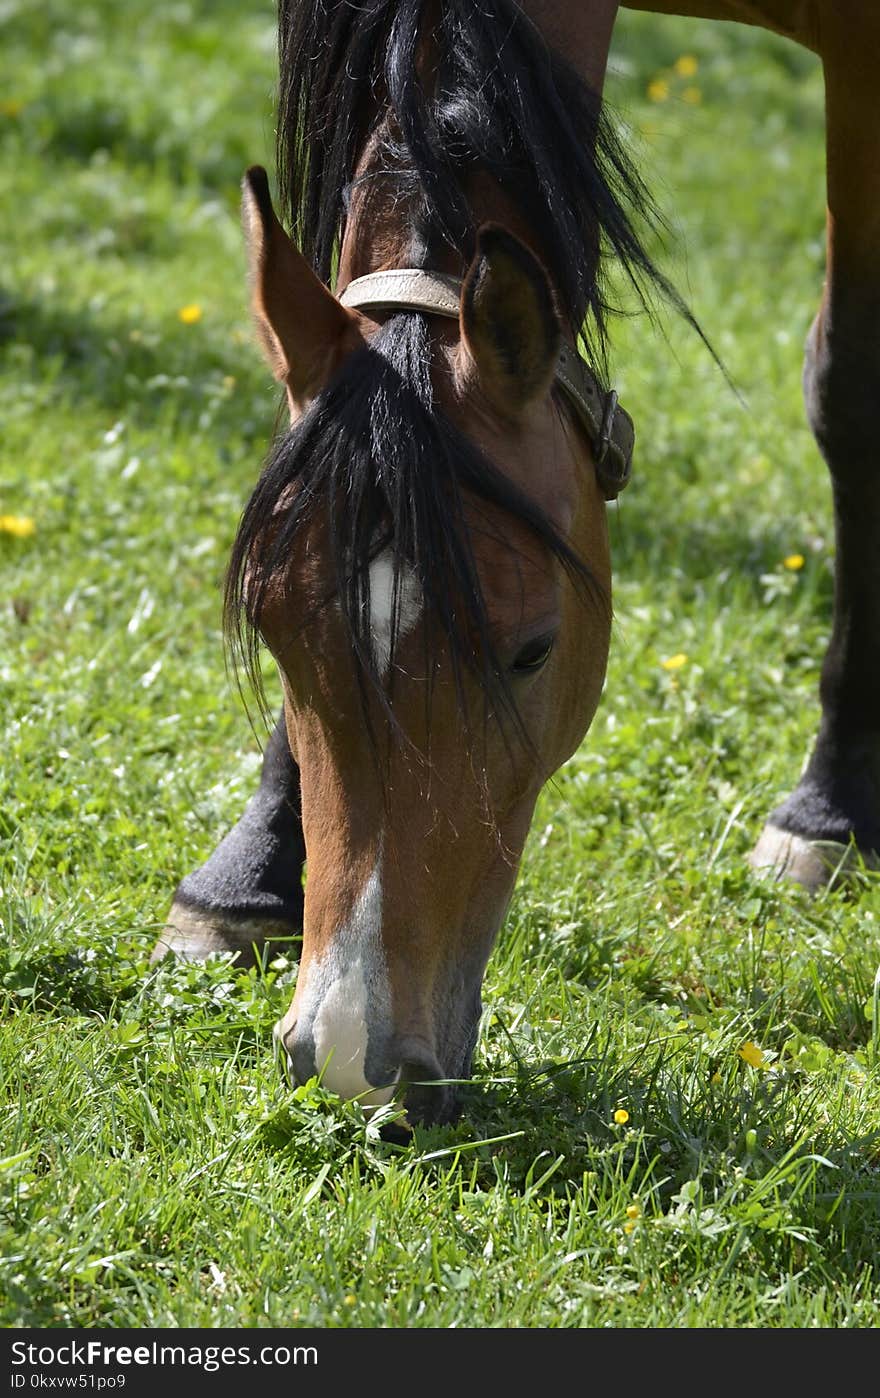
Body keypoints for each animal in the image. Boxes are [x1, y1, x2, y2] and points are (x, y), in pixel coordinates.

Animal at [154, 2, 878, 1135]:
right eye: (273, 635)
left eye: (531, 651)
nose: (356, 1056)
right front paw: (244, 875)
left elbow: (850, 382)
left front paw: (830, 806)